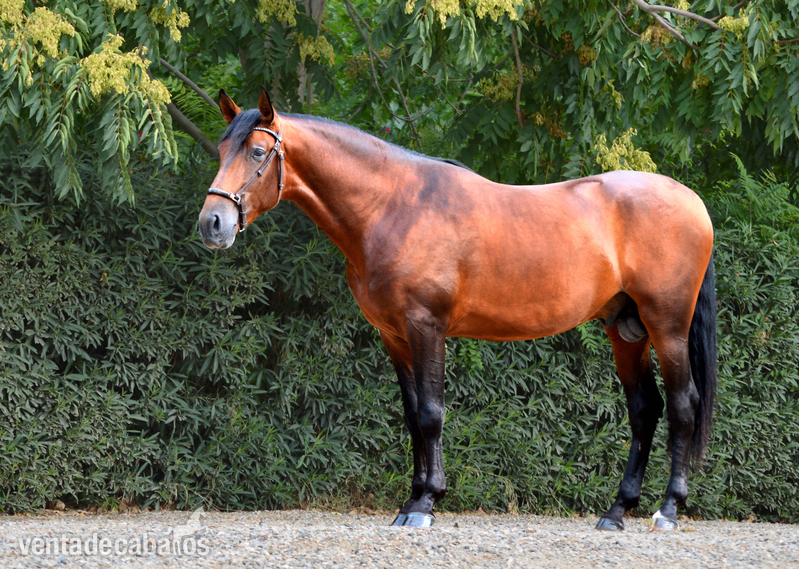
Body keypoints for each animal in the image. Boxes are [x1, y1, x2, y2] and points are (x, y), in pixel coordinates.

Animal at [198, 86, 717, 531]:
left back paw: (669, 509)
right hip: (625, 330)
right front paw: (411, 499)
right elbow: (412, 415)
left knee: (682, 406)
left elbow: (431, 412)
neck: (393, 206)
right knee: (644, 410)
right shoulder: (394, 335)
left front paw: (426, 504)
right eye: (223, 151)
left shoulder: (426, 327)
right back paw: (617, 510)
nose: (212, 223)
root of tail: (691, 200)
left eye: (258, 152)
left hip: (667, 326)